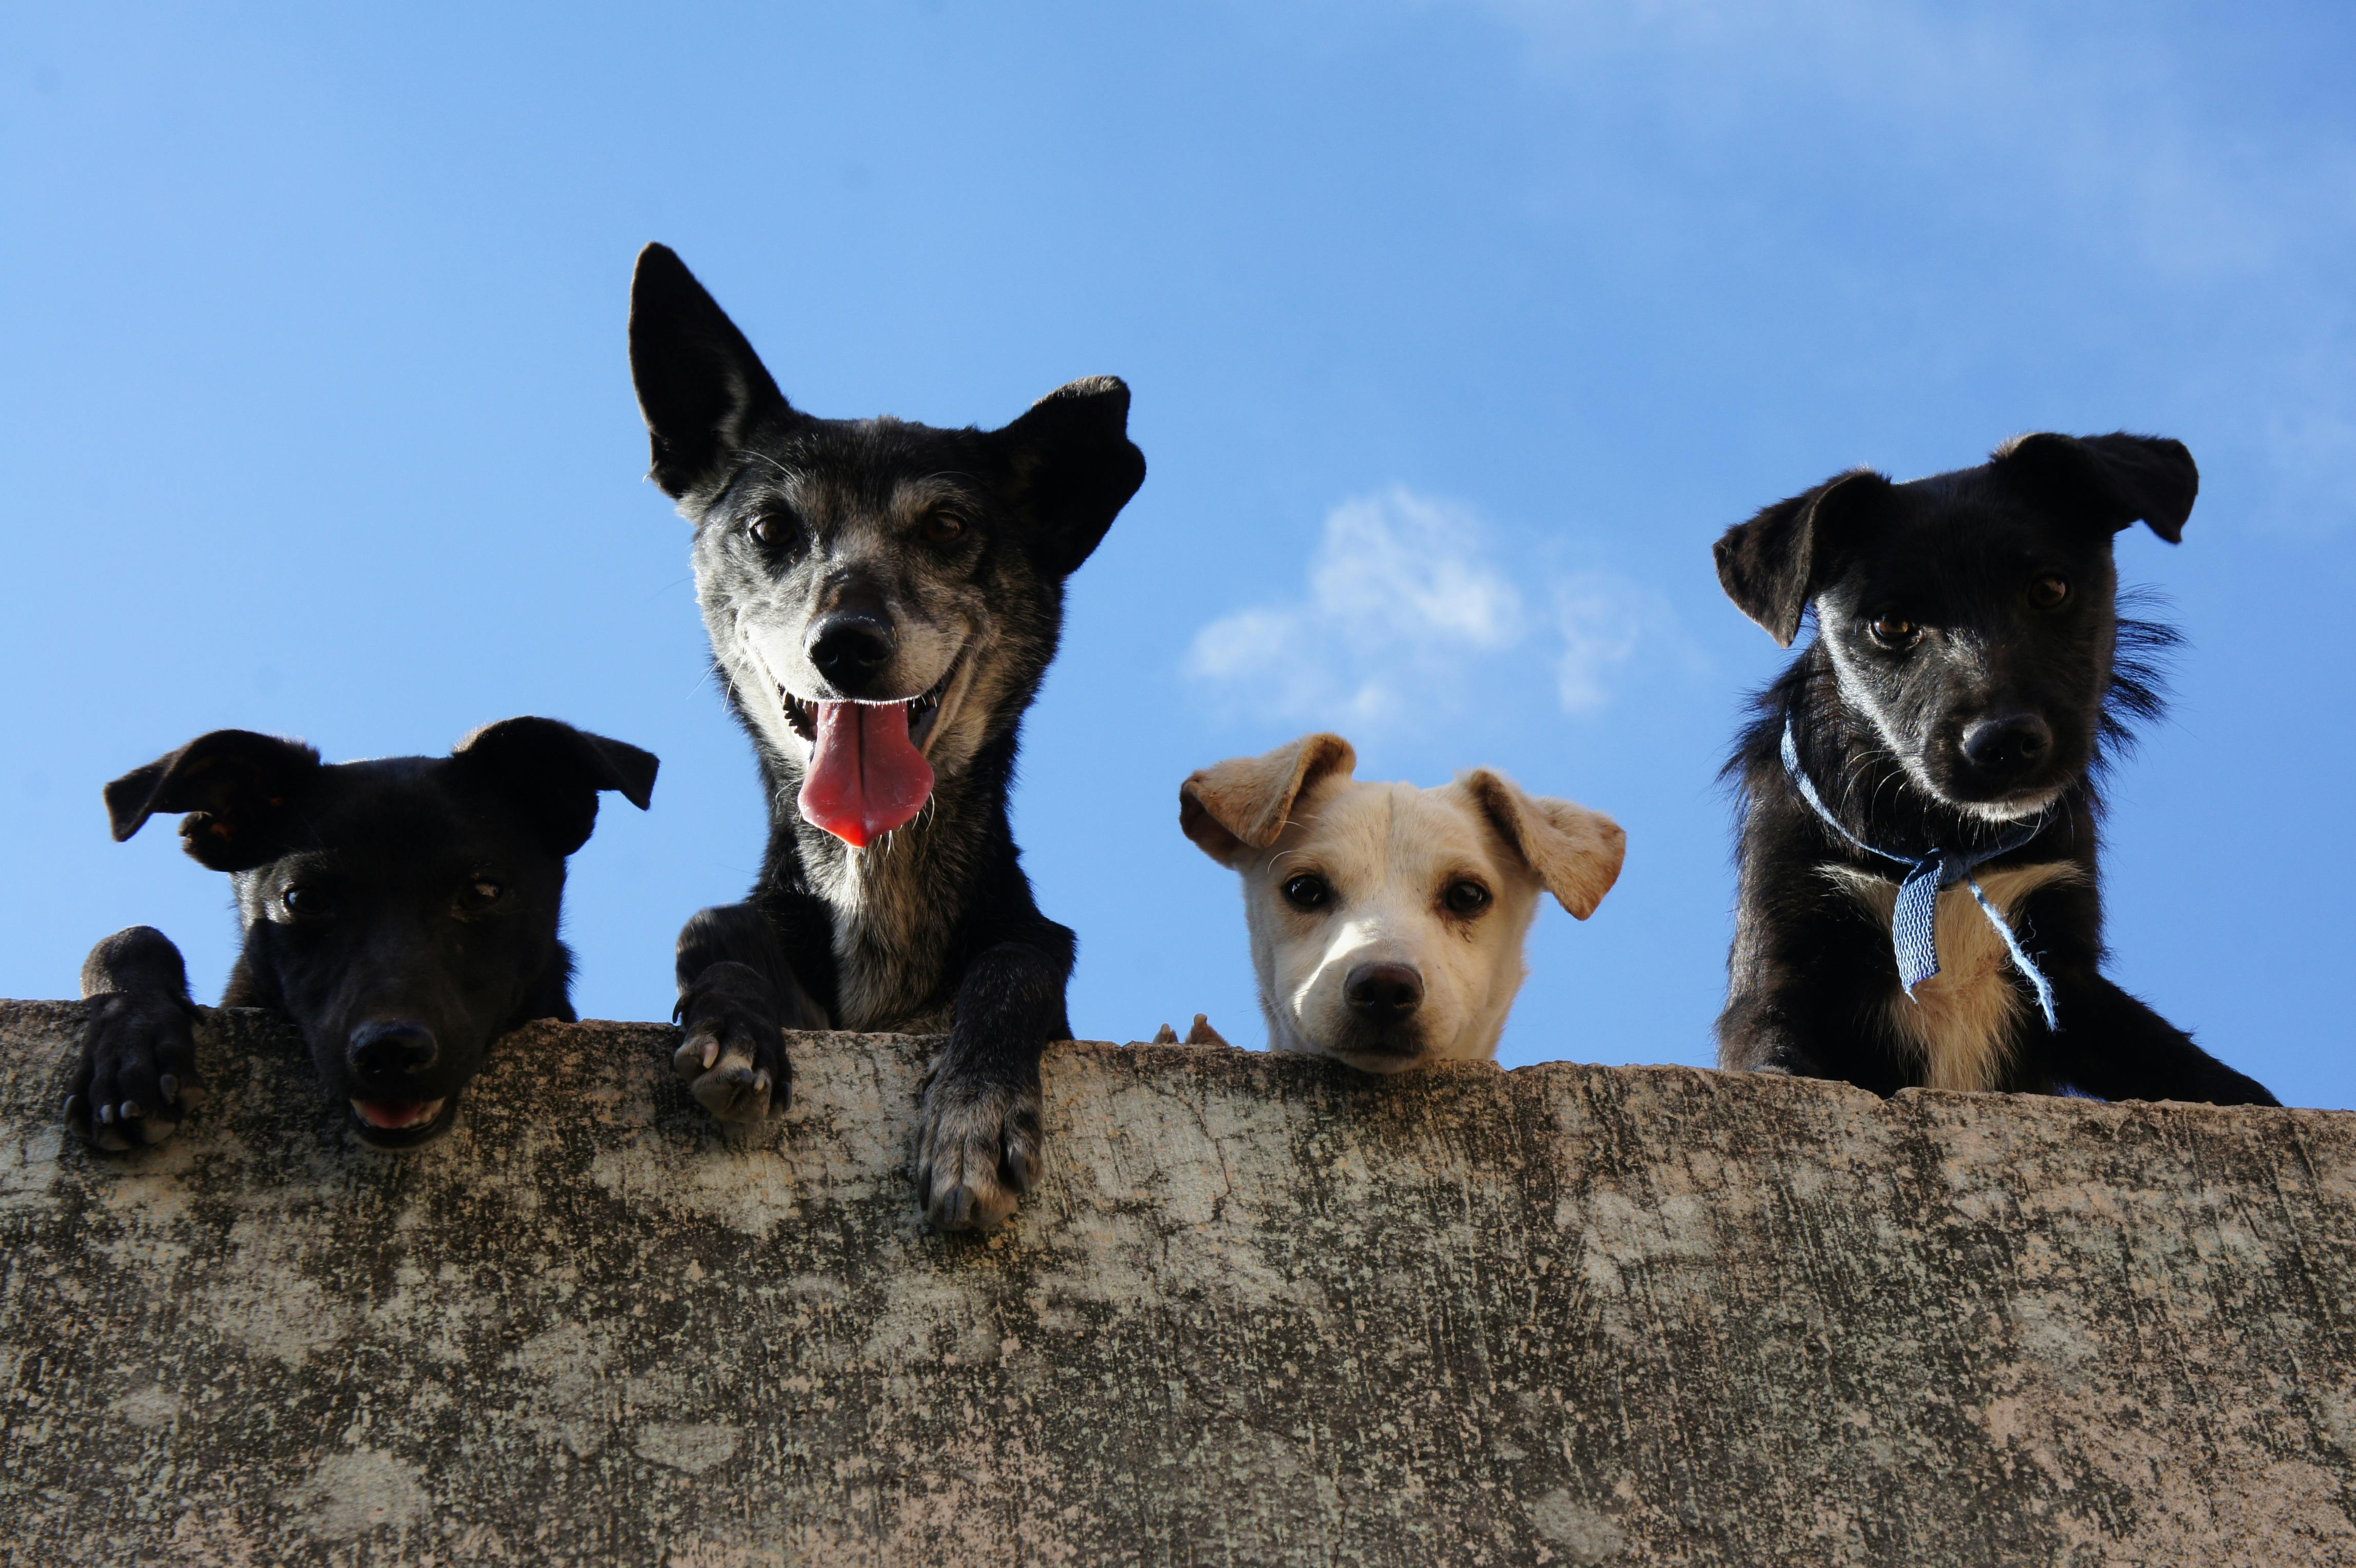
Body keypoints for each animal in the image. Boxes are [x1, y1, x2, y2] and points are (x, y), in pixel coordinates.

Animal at [622, 241, 1145, 1224]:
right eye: (769, 527)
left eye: (946, 526)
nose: (847, 645)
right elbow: (710, 922)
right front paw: (735, 1025)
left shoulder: (1029, 954)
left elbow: (1018, 962)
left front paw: (976, 1115)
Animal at [1715, 430, 2281, 1097]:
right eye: (1889, 624)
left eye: (2049, 589)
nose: (2004, 741)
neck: (1945, 848)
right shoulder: (1779, 963)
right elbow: (1774, 1057)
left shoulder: (2065, 974)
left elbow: (2210, 1077)